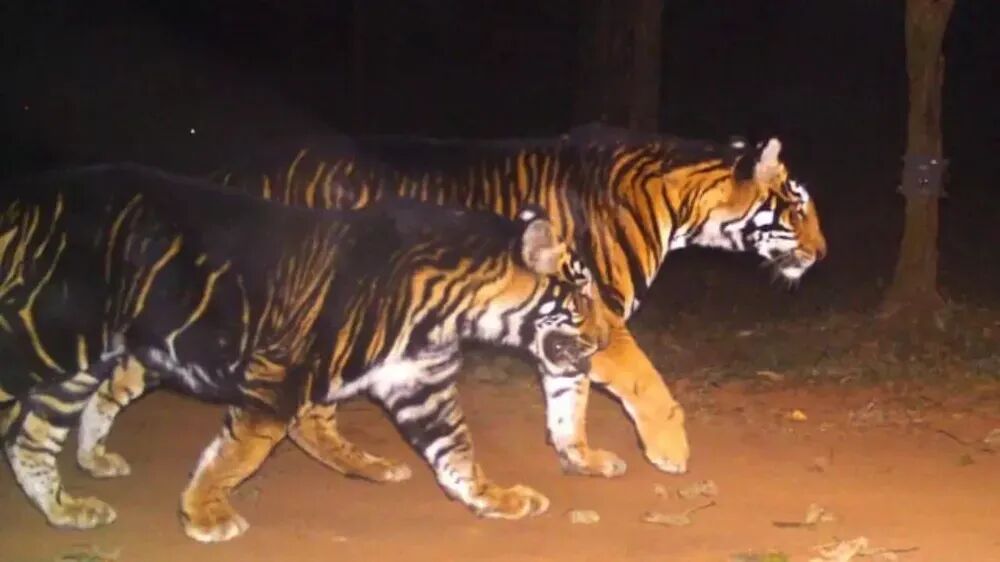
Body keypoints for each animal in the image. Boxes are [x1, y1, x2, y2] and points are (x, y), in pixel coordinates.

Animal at [0, 163, 609, 542]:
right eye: (582, 294)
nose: (606, 337)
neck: (454, 309)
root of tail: (22, 197)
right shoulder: (279, 376)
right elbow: (238, 453)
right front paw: (203, 516)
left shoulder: (419, 384)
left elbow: (455, 453)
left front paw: (496, 499)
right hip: (41, 340)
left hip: (80, 366)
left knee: (34, 440)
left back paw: (66, 509)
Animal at [206, 124, 828, 477]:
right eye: (798, 208)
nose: (823, 253)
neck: (681, 204)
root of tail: (238, 169)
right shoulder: (600, 311)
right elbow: (645, 383)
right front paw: (670, 451)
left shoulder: (569, 327)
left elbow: (568, 399)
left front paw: (581, 460)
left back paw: (364, 466)